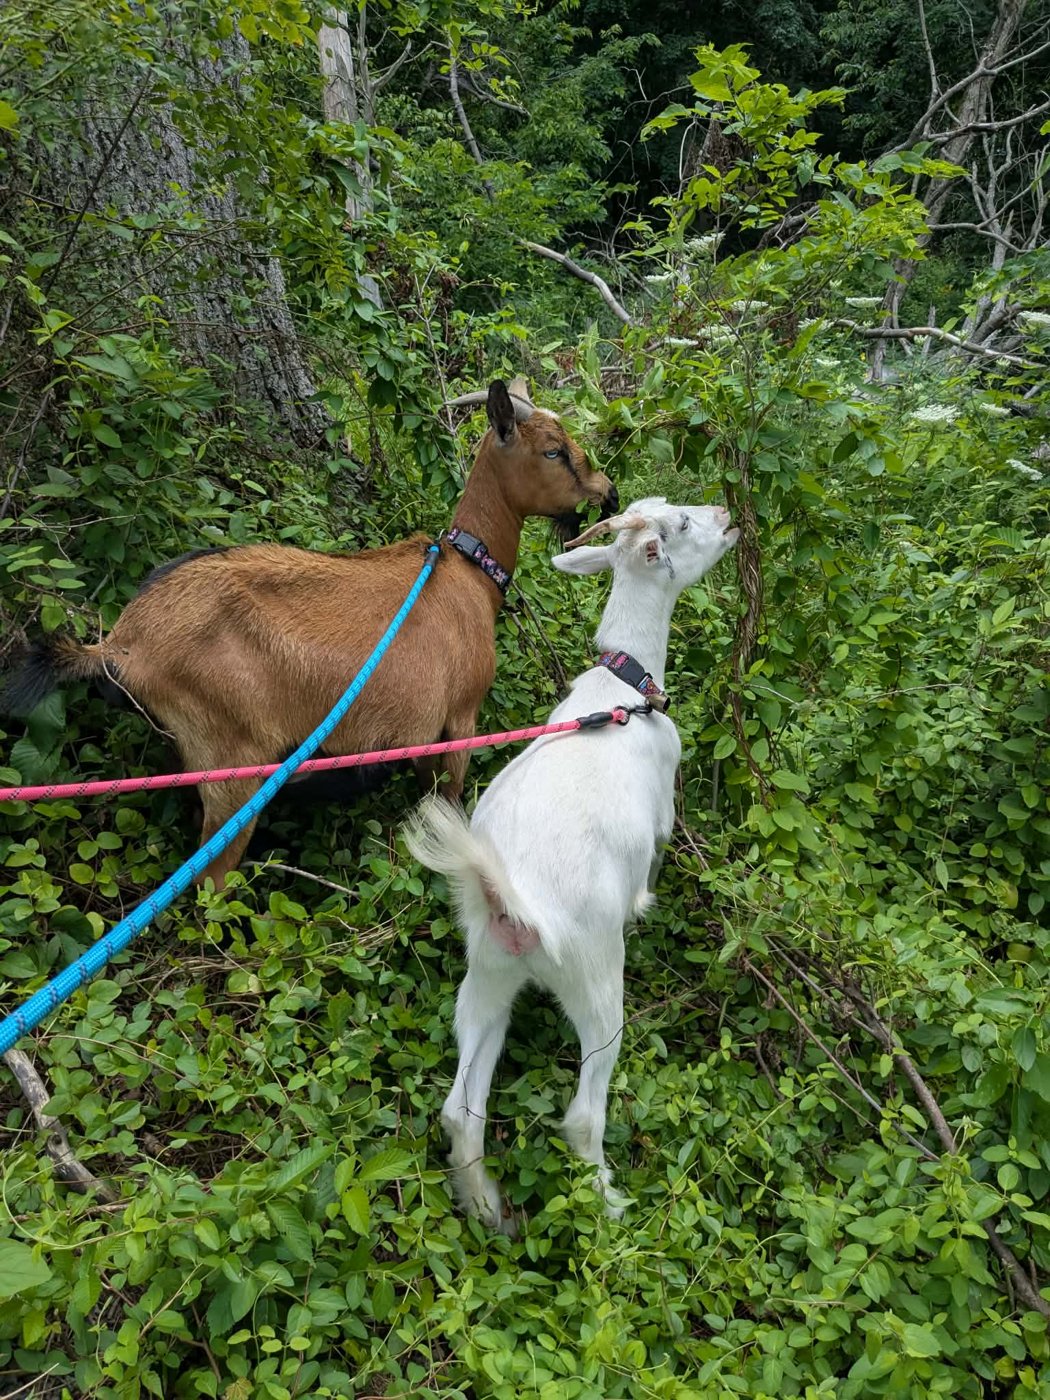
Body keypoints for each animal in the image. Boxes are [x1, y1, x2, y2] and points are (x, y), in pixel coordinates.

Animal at [0, 379, 617, 887]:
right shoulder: (458, 721)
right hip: (233, 765)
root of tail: (120, 646)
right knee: (210, 883)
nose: (607, 491)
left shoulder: (420, 736)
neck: (464, 573)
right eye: (553, 450)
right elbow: (450, 803)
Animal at [404, 497, 739, 1232]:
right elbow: (656, 857)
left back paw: (487, 1209)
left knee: (461, 1107)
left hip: (486, 976)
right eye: (678, 526)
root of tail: (515, 903)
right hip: (594, 976)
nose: (725, 512)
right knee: (584, 1114)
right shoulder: (663, 807)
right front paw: (648, 902)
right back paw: (610, 1205)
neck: (626, 686)